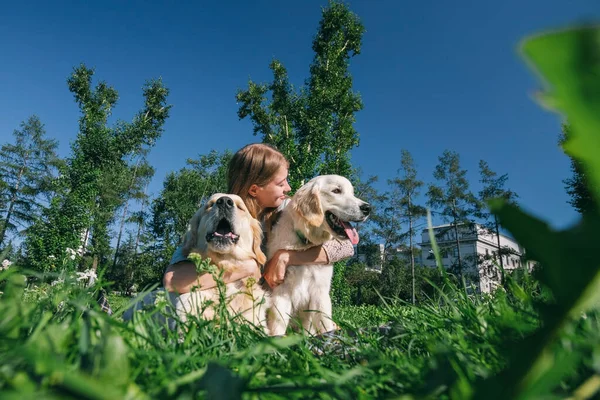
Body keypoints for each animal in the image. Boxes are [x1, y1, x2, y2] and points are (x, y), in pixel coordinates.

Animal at [268, 174, 370, 334]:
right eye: (336, 190)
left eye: (352, 193)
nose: (368, 208)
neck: (305, 244)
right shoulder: (280, 292)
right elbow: (278, 326)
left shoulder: (320, 293)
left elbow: (324, 325)